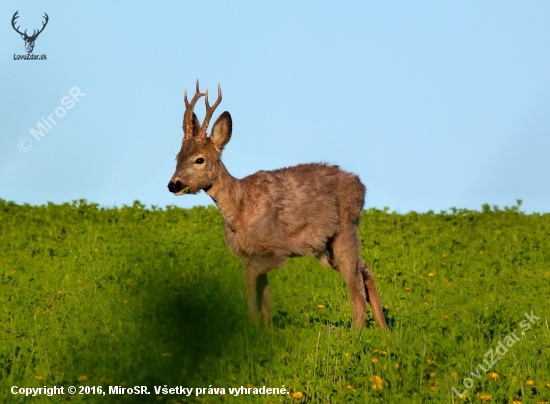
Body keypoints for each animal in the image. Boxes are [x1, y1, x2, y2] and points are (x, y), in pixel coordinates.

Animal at [170, 80, 390, 330]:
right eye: (177, 157)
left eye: (199, 159)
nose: (173, 184)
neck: (240, 209)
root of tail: (360, 185)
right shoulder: (251, 254)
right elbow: (263, 291)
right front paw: (265, 328)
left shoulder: (275, 248)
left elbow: (249, 278)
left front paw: (251, 322)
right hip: (327, 248)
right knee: (364, 269)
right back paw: (383, 328)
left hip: (344, 231)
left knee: (356, 289)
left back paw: (357, 331)